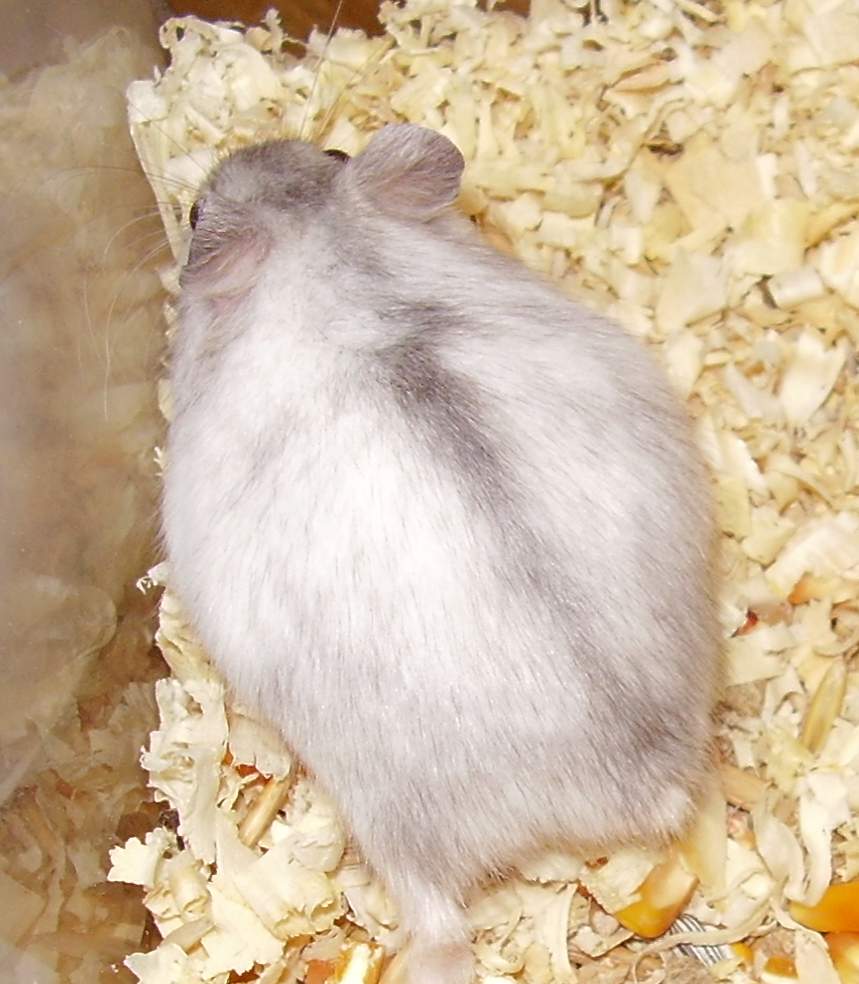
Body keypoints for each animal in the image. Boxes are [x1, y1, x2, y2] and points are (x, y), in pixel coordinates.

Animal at [163, 123, 720, 984]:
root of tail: (627, 784)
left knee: (436, 920)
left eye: (194, 214)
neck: (326, 261)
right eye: (331, 153)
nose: (244, 152)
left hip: (392, 822)